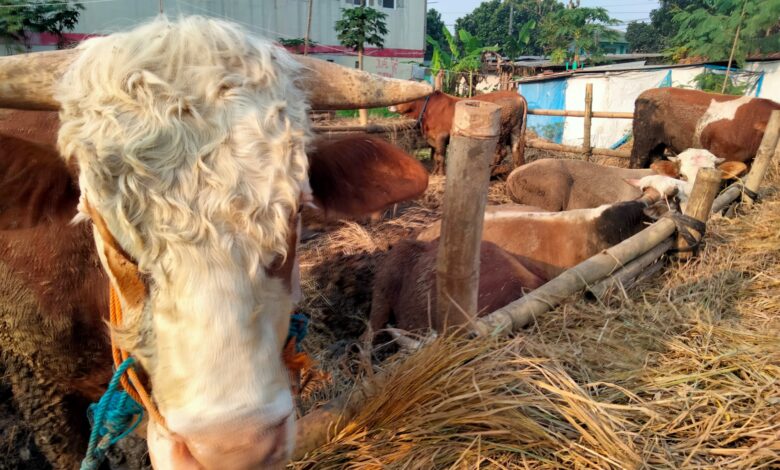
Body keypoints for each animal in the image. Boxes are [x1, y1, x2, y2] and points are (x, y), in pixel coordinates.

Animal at [386, 89, 528, 174]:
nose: (390, 105)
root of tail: (516, 95)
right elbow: (436, 156)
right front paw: (435, 172)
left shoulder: (441, 136)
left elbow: (440, 156)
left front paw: (441, 174)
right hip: (515, 130)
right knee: (516, 150)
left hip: (502, 133)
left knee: (501, 152)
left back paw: (491, 173)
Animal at [628, 88, 780, 169]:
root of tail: (644, 94)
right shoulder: (723, 154)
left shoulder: (747, 161)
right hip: (643, 139)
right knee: (637, 160)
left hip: (659, 143)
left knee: (655, 159)